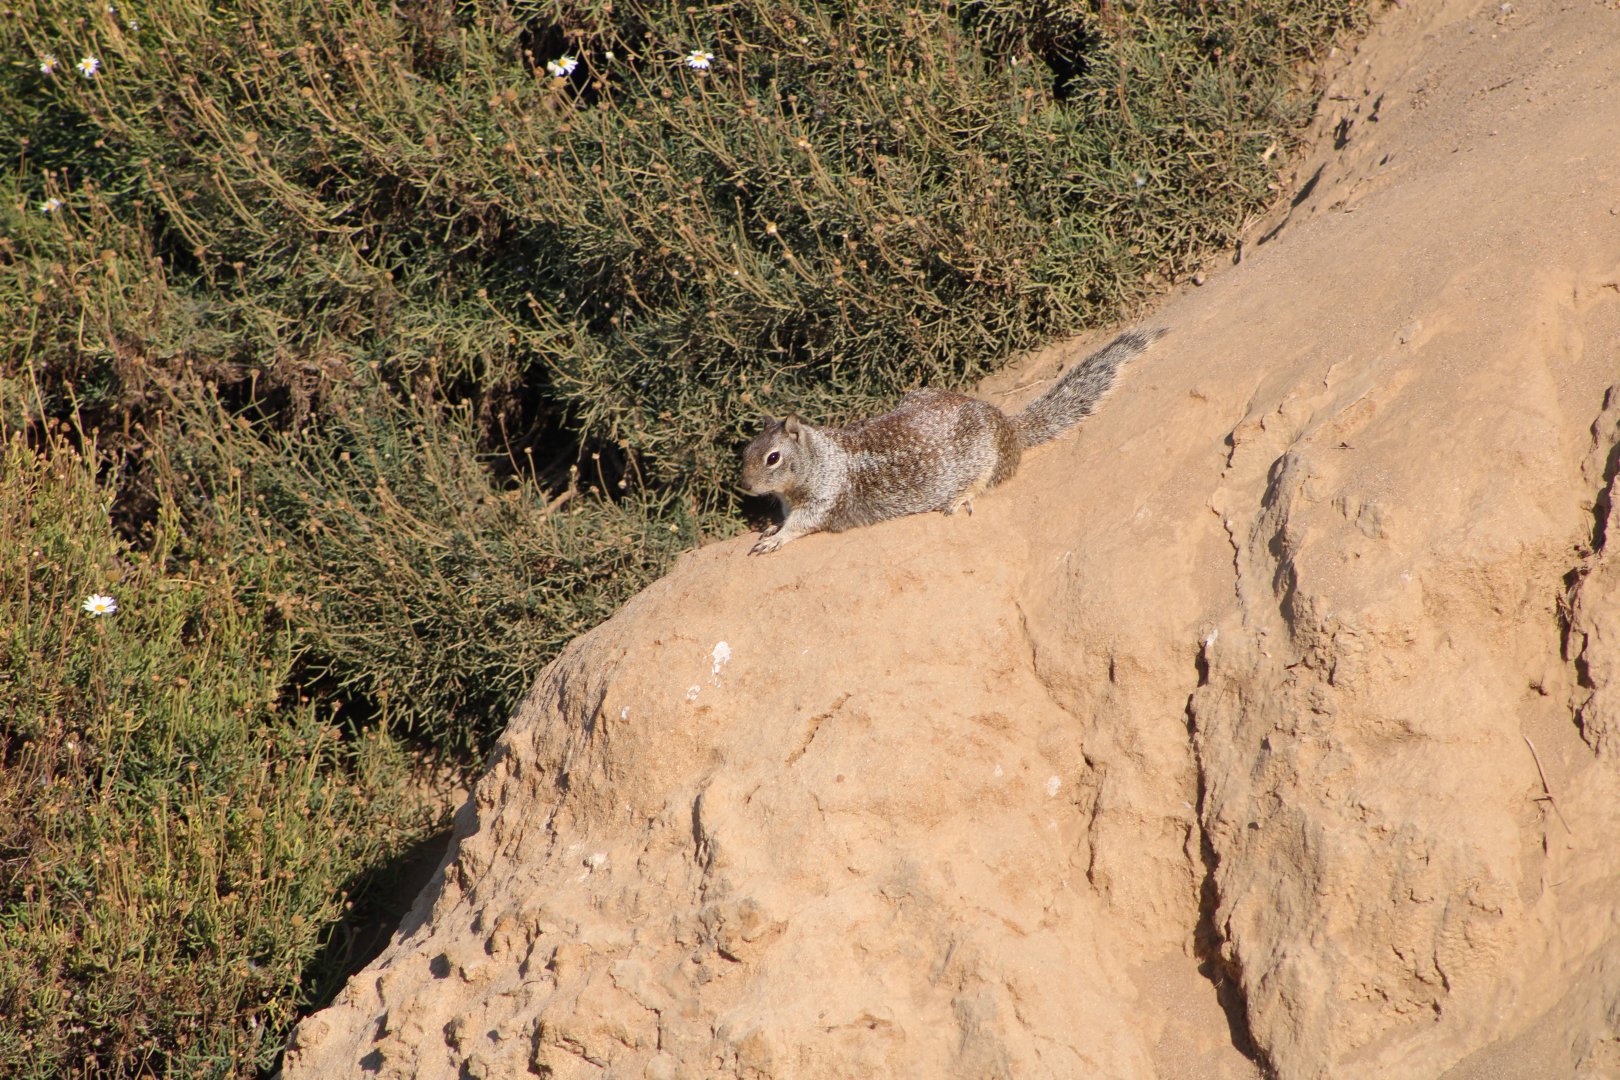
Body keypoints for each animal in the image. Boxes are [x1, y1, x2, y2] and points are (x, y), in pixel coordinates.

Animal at [738, 328, 1163, 554]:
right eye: (745, 451)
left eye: (773, 458)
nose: (745, 486)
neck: (821, 457)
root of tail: (1008, 425)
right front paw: (770, 528)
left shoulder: (826, 497)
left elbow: (803, 523)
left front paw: (776, 538)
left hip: (985, 454)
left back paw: (961, 497)